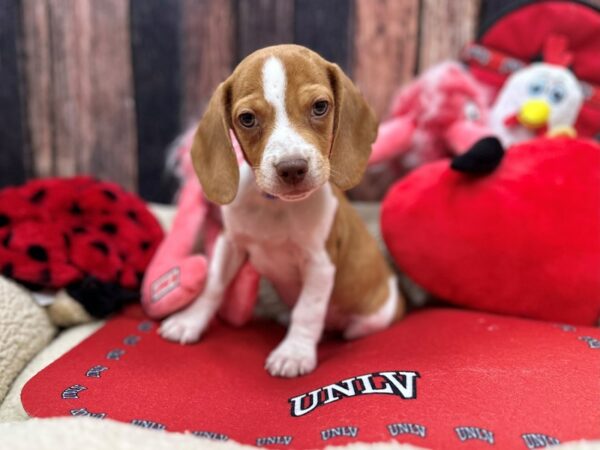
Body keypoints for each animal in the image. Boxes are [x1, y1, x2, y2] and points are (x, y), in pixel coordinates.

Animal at [159, 44, 406, 376]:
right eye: (247, 118)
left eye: (320, 106)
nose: (292, 168)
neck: (275, 207)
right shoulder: (230, 244)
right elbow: (213, 285)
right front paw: (190, 320)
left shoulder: (319, 263)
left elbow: (307, 310)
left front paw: (294, 352)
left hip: (370, 320)